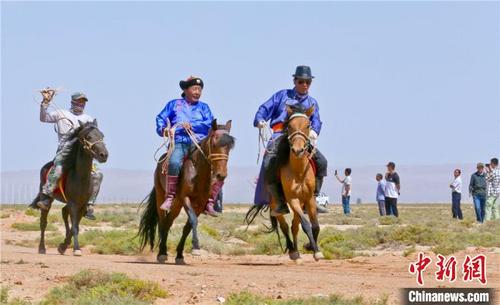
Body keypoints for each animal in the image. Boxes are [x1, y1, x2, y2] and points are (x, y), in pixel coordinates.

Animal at [29, 120, 108, 255]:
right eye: (88, 137)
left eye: (102, 135)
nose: (104, 155)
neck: (81, 177)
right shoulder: (73, 203)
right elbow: (75, 227)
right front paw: (76, 249)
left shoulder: (82, 205)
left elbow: (75, 227)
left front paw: (63, 246)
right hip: (48, 198)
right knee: (43, 222)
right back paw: (42, 248)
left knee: (64, 212)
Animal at [246, 104, 324, 262]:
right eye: (290, 126)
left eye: (308, 125)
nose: (298, 150)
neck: (299, 171)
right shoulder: (292, 199)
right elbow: (306, 225)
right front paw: (311, 249)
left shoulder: (309, 199)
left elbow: (315, 226)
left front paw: (313, 248)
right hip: (276, 204)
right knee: (285, 226)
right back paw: (293, 251)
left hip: (301, 202)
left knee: (294, 226)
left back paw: (298, 252)